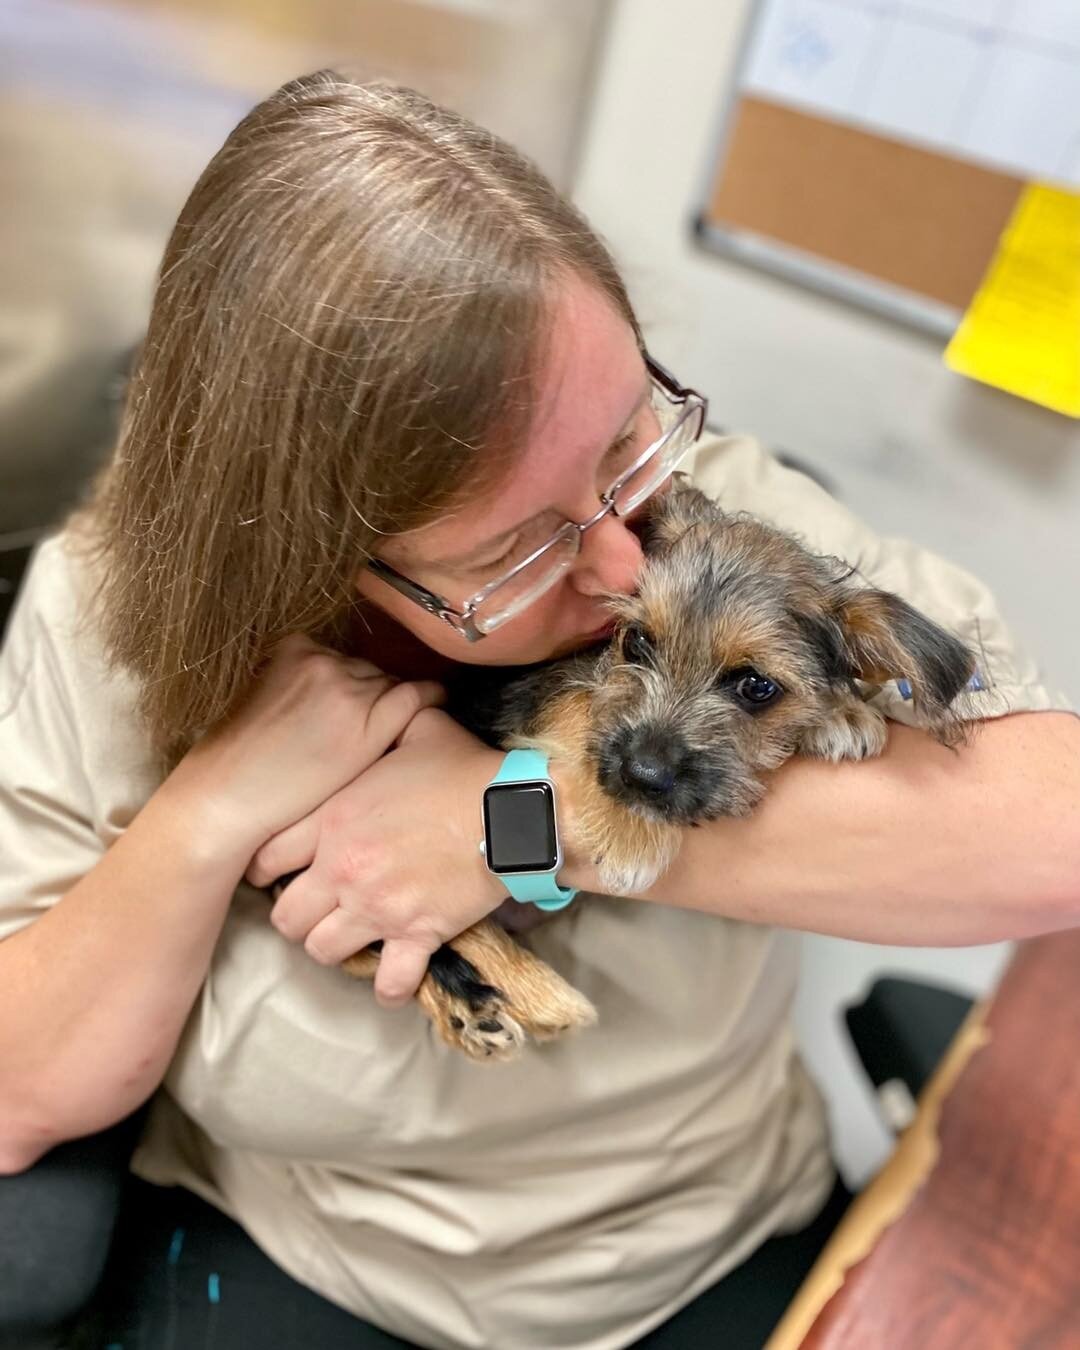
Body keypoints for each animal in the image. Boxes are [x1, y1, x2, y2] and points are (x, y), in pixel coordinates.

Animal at [340, 480, 977, 1058]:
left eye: (757, 687)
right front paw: (625, 829)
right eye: (638, 642)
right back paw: (517, 999)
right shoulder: (543, 686)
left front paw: (843, 712)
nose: (639, 776)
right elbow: (582, 700)